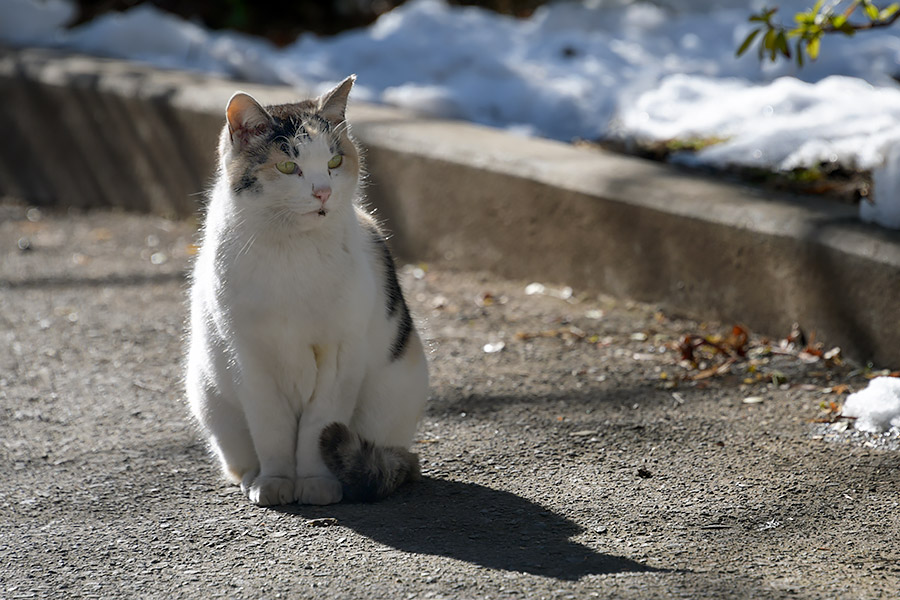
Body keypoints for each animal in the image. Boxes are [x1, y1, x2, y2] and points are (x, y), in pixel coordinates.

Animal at [185, 75, 428, 506]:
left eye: (334, 162)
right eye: (287, 166)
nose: (322, 192)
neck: (292, 251)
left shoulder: (340, 356)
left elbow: (318, 428)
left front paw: (315, 484)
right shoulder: (249, 359)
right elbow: (273, 430)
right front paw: (276, 482)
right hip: (209, 398)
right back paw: (251, 477)